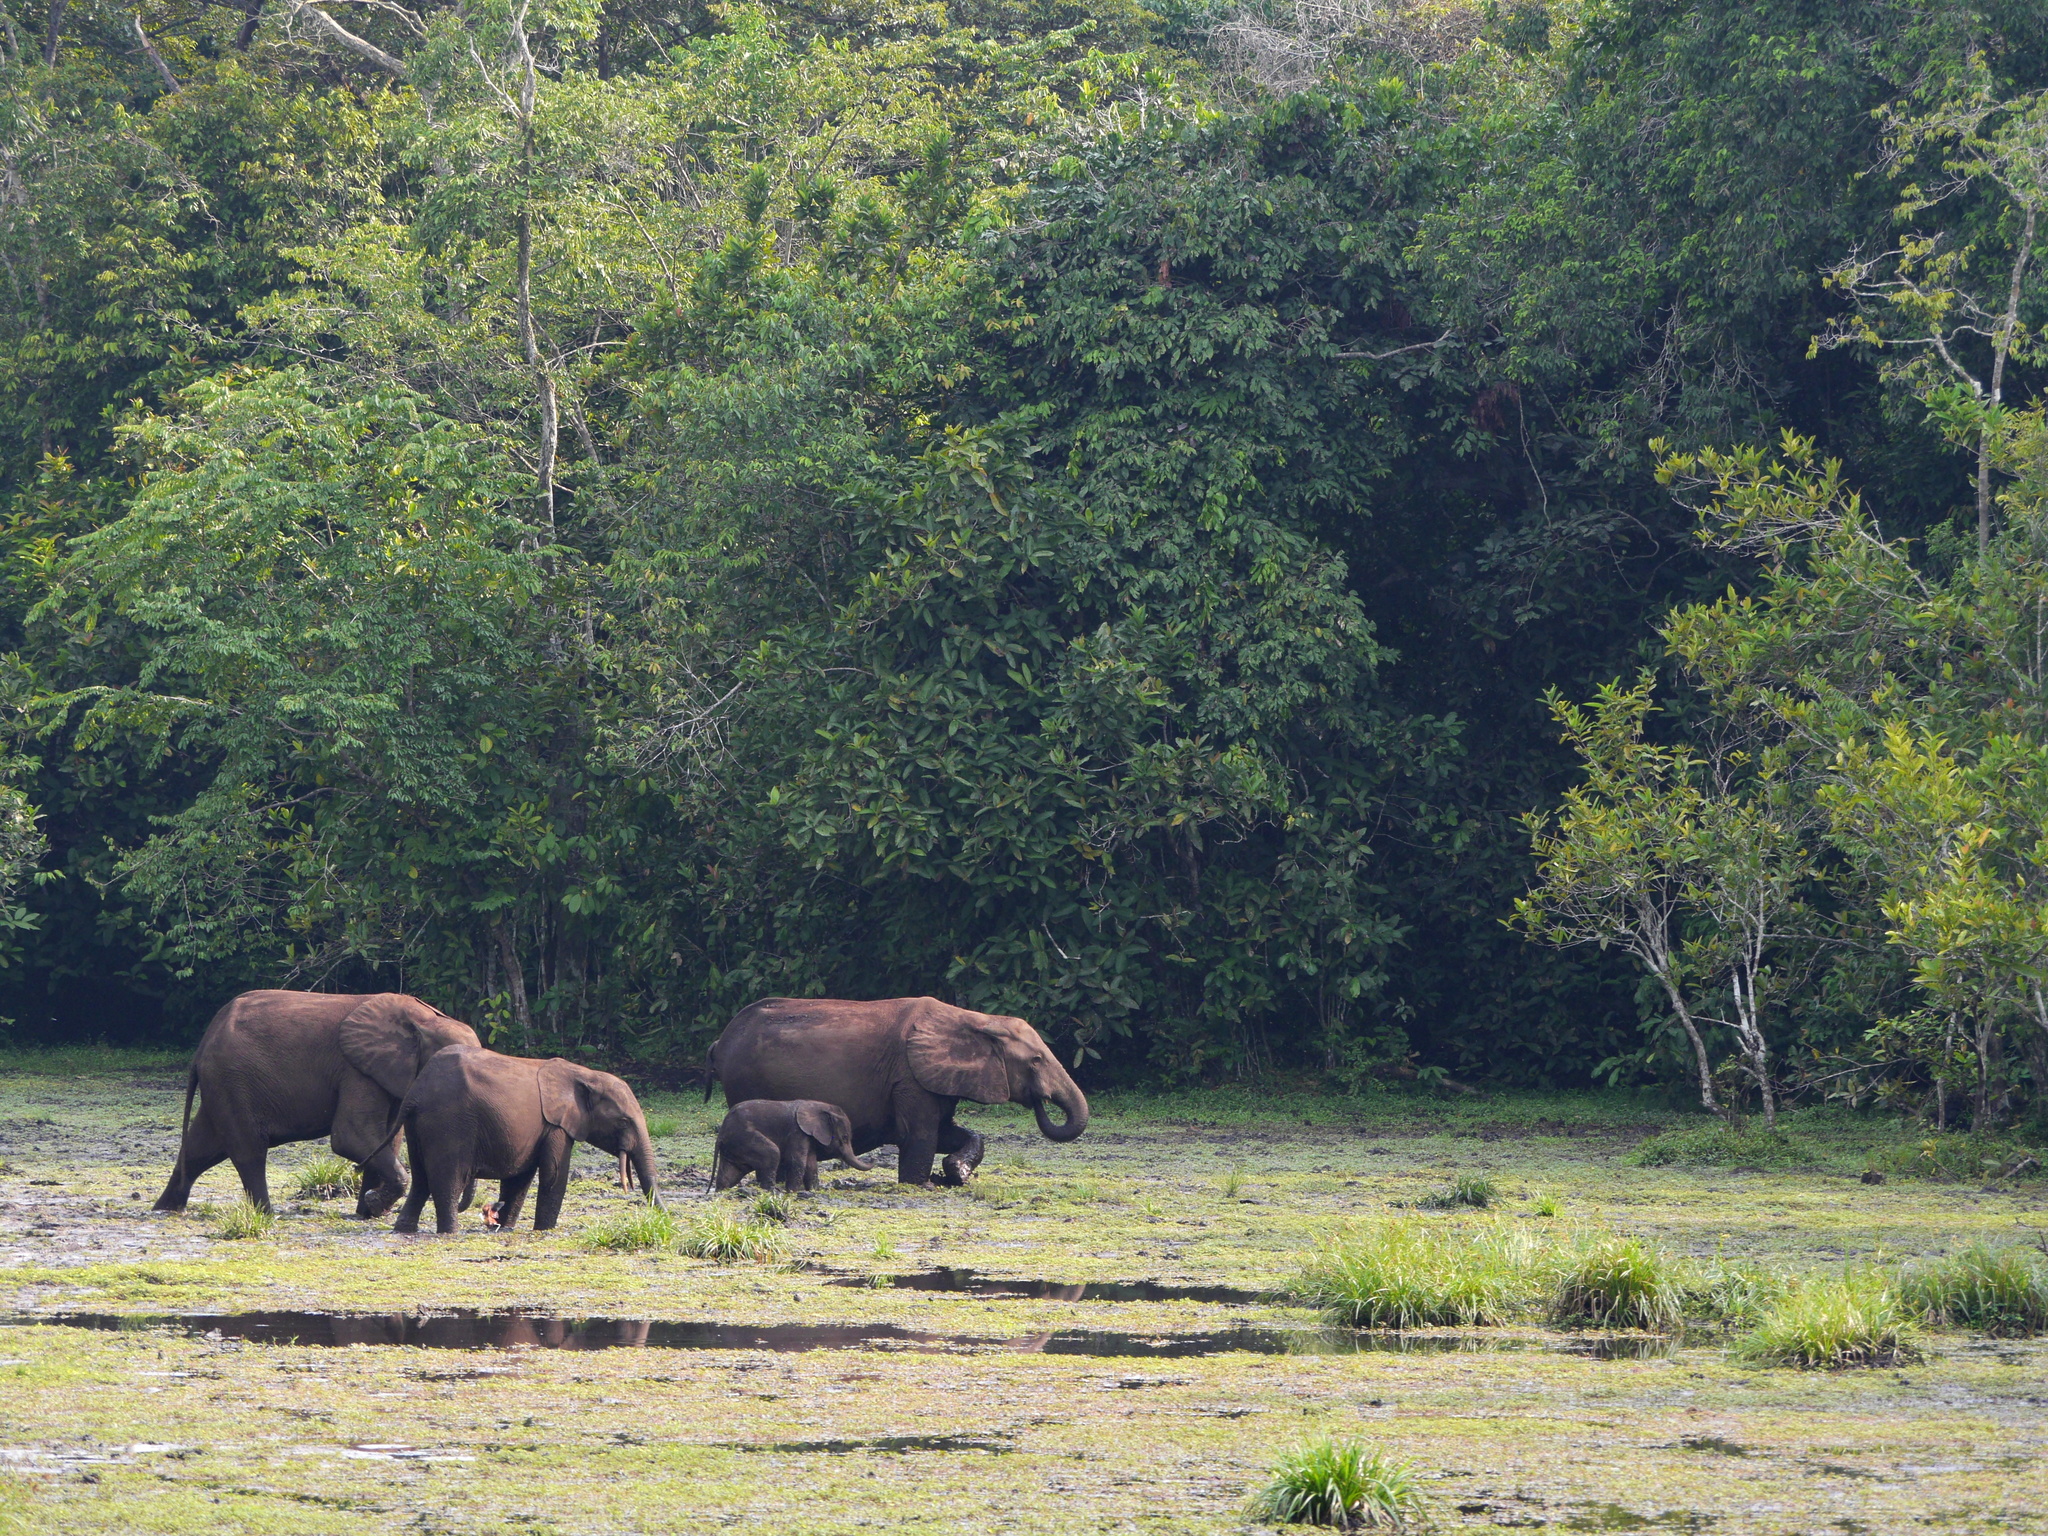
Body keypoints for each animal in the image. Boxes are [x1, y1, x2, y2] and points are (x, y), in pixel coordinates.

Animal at [153, 990, 481, 1217]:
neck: (424, 1020)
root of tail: (204, 1043)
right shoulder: (356, 1070)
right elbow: (351, 1136)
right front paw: (375, 1204)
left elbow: (387, 1140)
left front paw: (371, 1210)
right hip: (233, 1079)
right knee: (248, 1150)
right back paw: (266, 1214)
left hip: (223, 1083)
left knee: (201, 1147)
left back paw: (167, 1208)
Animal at [385, 1045, 660, 1234]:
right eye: (623, 1121)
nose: (662, 1219)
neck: (585, 1075)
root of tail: (416, 1091)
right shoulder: (556, 1125)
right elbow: (554, 1175)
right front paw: (544, 1231)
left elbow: (520, 1178)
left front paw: (505, 1229)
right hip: (449, 1122)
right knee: (448, 1179)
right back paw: (450, 1232)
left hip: (418, 1125)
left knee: (421, 1178)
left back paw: (403, 1229)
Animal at [711, 1099, 874, 1192]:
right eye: (845, 1138)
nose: (872, 1161)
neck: (820, 1107)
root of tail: (721, 1132)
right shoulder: (797, 1132)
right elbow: (797, 1160)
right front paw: (792, 1192)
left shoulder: (808, 1135)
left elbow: (811, 1163)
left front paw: (814, 1191)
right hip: (743, 1136)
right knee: (773, 1152)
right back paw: (773, 1190)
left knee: (731, 1170)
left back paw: (721, 1189)